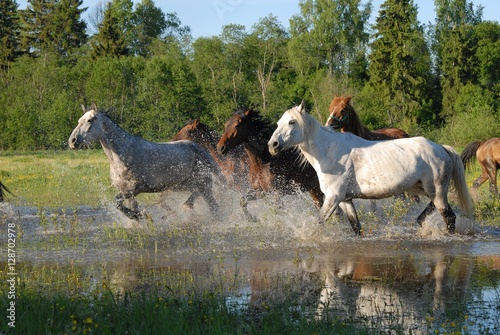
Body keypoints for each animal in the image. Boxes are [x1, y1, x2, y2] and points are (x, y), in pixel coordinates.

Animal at [68, 103, 223, 222]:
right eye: (79, 120)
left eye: (90, 120)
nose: (72, 141)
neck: (122, 155)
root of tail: (201, 150)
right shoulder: (128, 193)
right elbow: (126, 208)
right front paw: (138, 217)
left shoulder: (134, 189)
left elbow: (116, 202)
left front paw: (141, 215)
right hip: (184, 186)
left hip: (203, 185)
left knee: (215, 208)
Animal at [268, 102, 470, 236]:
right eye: (278, 123)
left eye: (292, 122)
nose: (273, 145)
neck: (330, 150)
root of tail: (442, 148)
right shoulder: (345, 200)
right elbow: (356, 227)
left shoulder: (333, 198)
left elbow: (320, 221)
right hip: (425, 190)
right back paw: (420, 221)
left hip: (436, 191)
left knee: (449, 217)